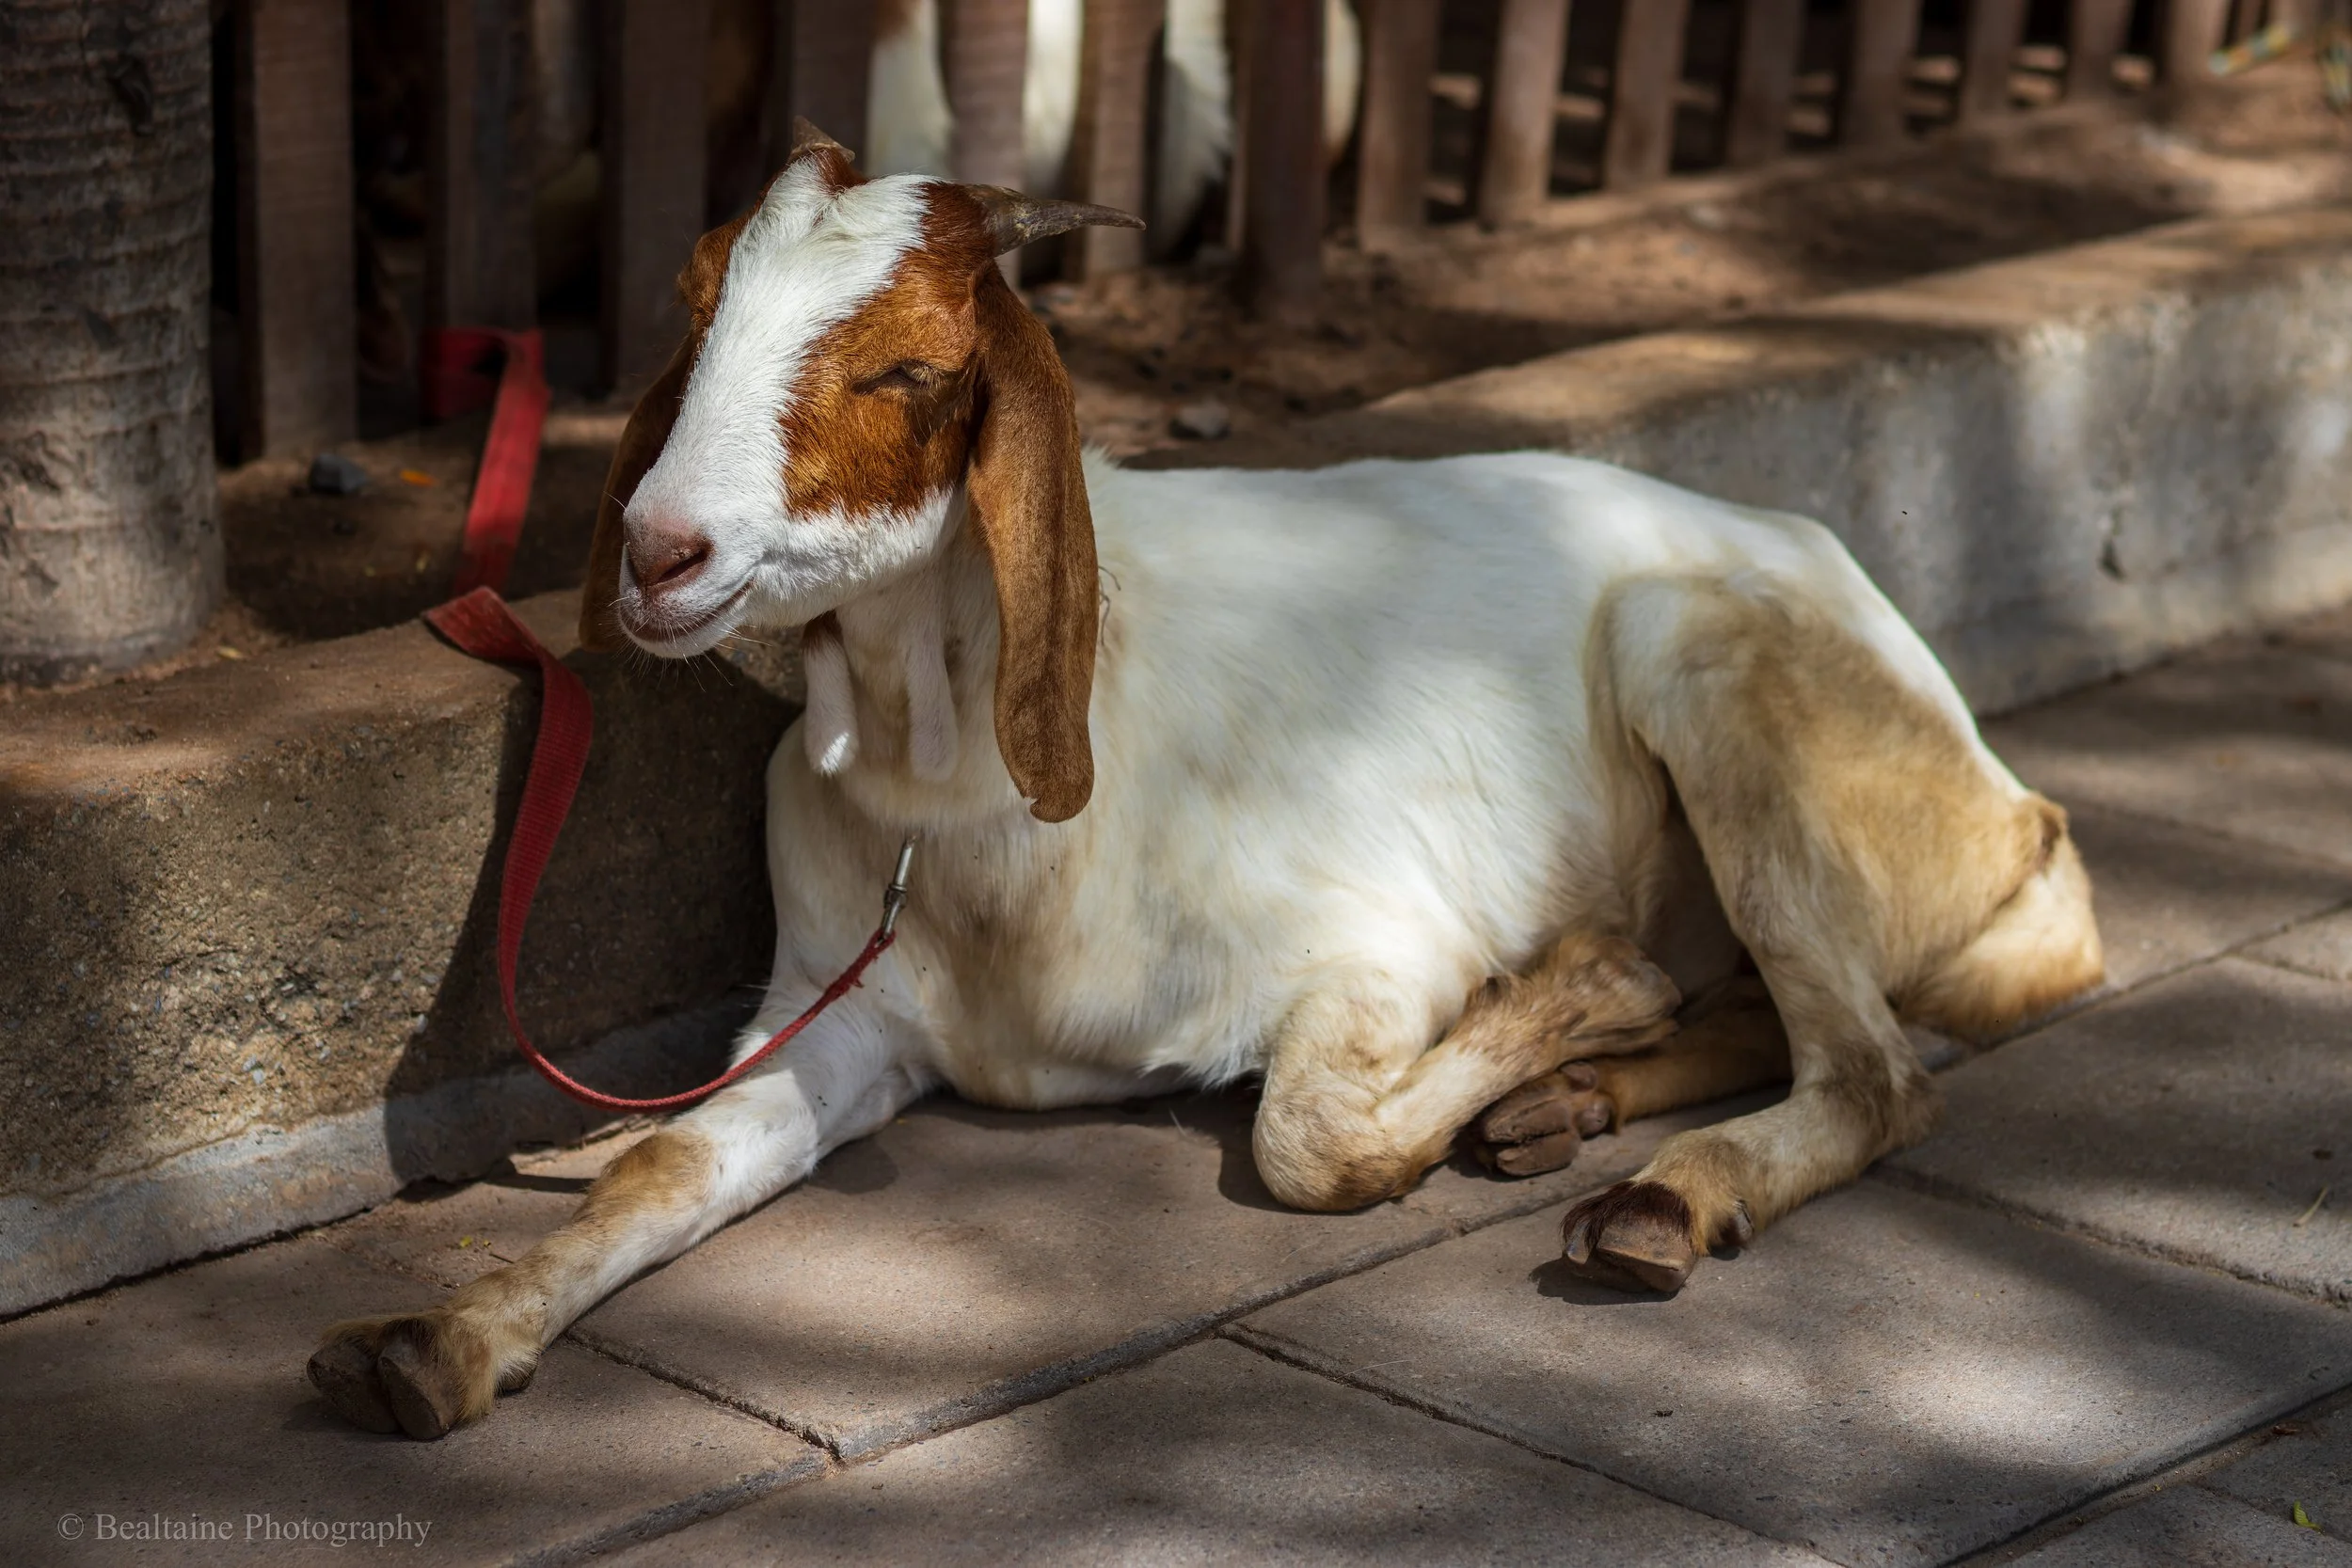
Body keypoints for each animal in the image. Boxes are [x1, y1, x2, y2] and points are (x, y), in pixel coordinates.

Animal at [307, 128, 2103, 1440]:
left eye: (904, 370)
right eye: (696, 322)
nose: (660, 551)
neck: (959, 796)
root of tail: (2016, 815)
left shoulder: (1379, 947)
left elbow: (1309, 1141)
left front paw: (1583, 983)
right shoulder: (841, 1012)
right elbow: (658, 1162)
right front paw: (435, 1338)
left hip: (1697, 653)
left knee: (1875, 1072)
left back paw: (1664, 1188)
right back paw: (1572, 1107)